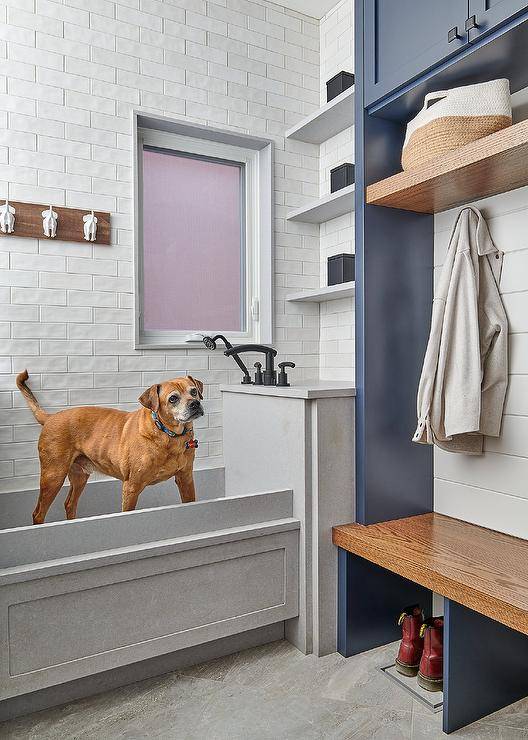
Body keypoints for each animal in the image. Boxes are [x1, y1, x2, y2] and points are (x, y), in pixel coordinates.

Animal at [14, 372, 204, 524]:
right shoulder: (131, 487)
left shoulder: (186, 479)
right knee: (38, 513)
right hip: (53, 477)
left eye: (194, 391)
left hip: (79, 476)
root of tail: (50, 417)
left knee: (69, 504)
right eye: (173, 398)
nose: (195, 403)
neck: (169, 435)